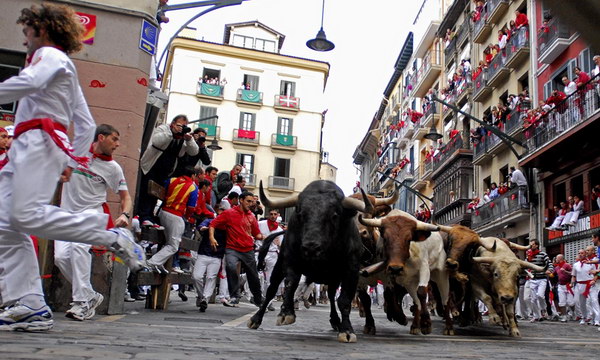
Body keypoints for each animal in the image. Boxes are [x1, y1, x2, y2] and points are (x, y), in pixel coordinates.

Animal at [246, 180, 368, 344]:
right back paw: (256, 319)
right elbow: (290, 285)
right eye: (301, 214)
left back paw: (335, 321)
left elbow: (344, 300)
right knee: (271, 290)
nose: (311, 247)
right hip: (278, 267)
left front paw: (347, 330)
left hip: (333, 278)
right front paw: (286, 313)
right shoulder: (290, 261)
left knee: (331, 296)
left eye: (334, 215)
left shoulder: (352, 271)